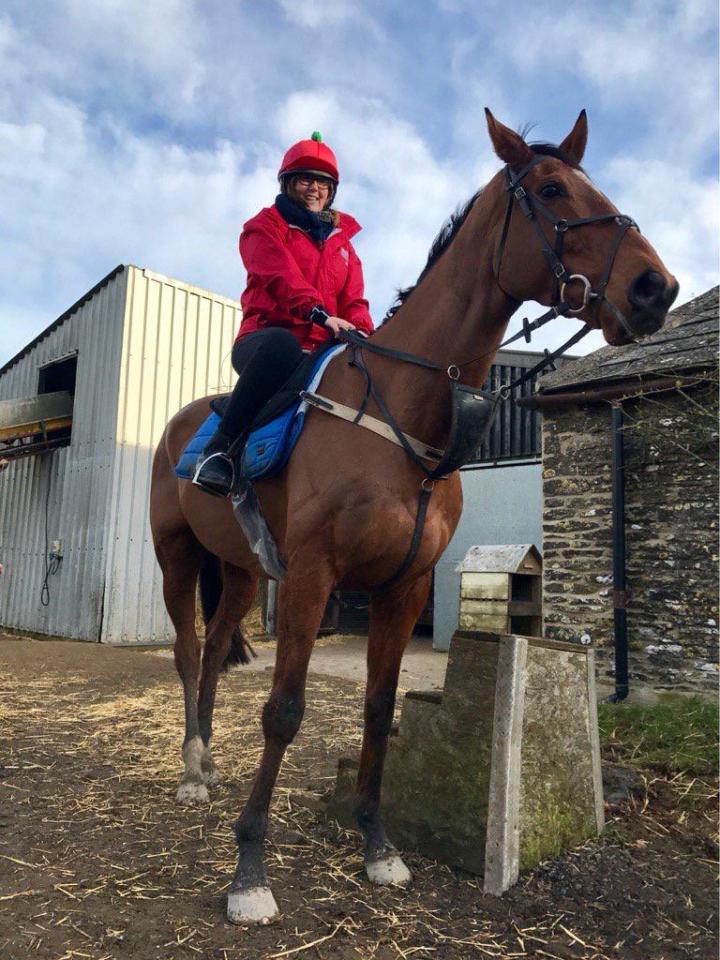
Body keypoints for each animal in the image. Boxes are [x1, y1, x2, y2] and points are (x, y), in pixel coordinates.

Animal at [149, 110, 676, 924]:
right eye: (552, 190)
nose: (656, 288)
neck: (403, 413)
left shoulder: (405, 587)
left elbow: (378, 709)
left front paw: (377, 845)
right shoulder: (311, 577)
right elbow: (284, 711)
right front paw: (249, 872)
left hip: (238, 573)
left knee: (209, 655)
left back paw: (204, 762)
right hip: (177, 559)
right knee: (184, 651)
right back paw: (189, 771)